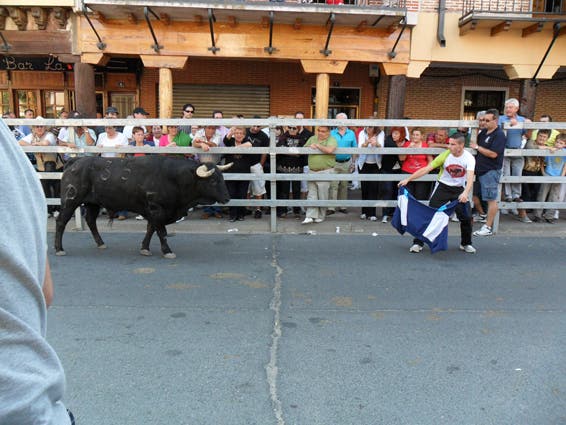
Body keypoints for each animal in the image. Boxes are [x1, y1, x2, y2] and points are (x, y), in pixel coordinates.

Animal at [53, 154, 231, 256]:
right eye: (213, 181)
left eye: (222, 179)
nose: (227, 198)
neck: (174, 178)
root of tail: (75, 162)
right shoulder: (156, 209)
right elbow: (161, 231)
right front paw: (167, 251)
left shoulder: (153, 211)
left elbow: (151, 229)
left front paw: (145, 248)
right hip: (70, 201)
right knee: (61, 221)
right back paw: (59, 249)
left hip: (92, 203)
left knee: (91, 221)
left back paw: (101, 243)